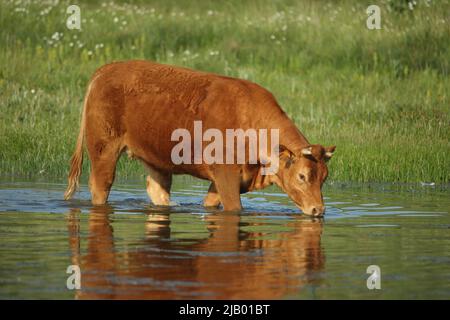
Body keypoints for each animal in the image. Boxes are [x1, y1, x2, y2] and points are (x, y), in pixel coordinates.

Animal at [65, 60, 336, 215]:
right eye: (302, 176)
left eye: (324, 178)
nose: (318, 210)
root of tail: (105, 70)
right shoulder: (226, 175)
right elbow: (234, 209)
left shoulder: (225, 179)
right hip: (104, 149)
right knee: (100, 186)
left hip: (156, 158)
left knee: (157, 188)